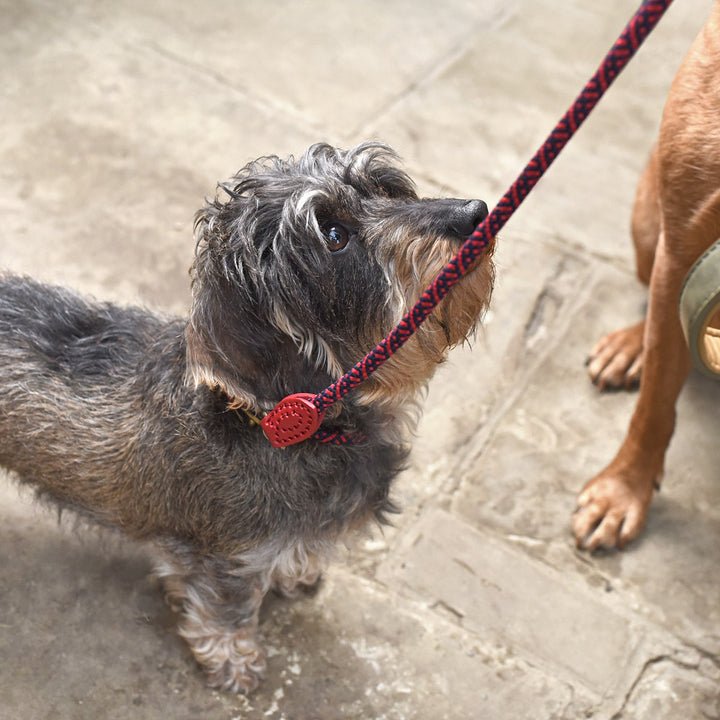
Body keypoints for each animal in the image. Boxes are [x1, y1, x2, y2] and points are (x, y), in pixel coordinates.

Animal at [0, 142, 496, 692]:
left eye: (387, 188)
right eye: (334, 235)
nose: (475, 212)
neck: (304, 430)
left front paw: (297, 572)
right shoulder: (229, 558)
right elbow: (227, 608)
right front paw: (232, 659)